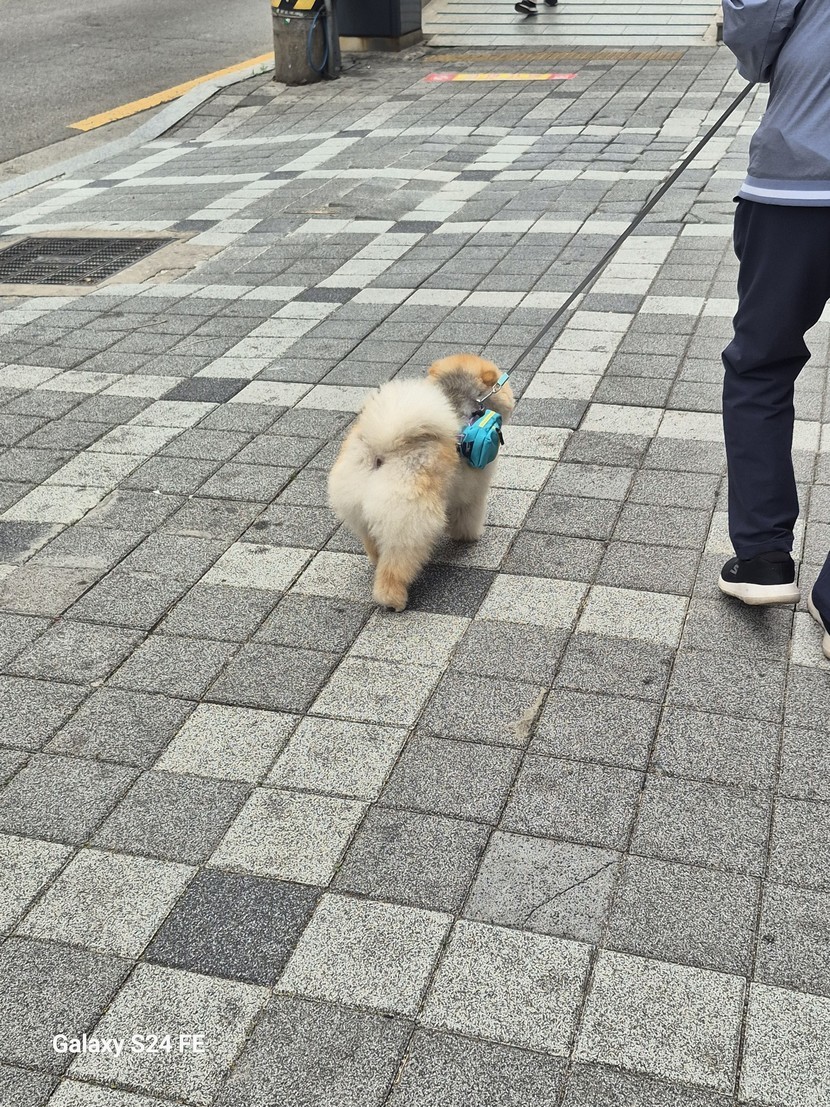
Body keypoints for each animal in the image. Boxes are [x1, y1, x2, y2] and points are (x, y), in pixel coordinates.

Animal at [328, 354, 514, 611]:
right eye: (502, 385)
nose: (511, 395)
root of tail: (381, 453)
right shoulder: (472, 490)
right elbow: (468, 515)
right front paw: (468, 536)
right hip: (411, 522)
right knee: (396, 564)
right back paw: (393, 599)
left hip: (360, 509)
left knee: (373, 543)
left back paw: (376, 559)